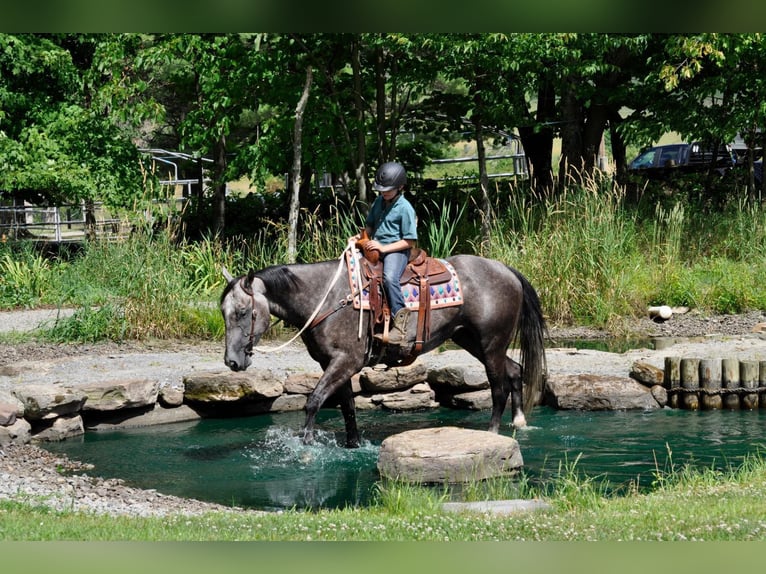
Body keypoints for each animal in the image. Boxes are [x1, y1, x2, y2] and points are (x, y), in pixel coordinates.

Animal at [219, 253, 548, 450]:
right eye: (223, 312)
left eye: (242, 311)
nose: (232, 361)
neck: (327, 298)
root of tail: (506, 270)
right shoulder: (334, 364)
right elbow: (348, 407)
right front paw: (353, 445)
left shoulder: (345, 362)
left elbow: (314, 400)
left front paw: (306, 445)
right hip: (473, 340)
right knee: (514, 371)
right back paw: (519, 422)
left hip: (491, 343)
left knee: (498, 387)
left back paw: (491, 433)